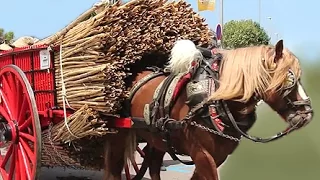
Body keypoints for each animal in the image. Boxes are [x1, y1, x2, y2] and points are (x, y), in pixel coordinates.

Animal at [104, 39, 314, 180]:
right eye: (289, 80)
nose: (308, 114)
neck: (214, 101)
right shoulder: (202, 154)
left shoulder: (217, 156)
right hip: (118, 133)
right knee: (115, 168)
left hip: (157, 137)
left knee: (154, 166)